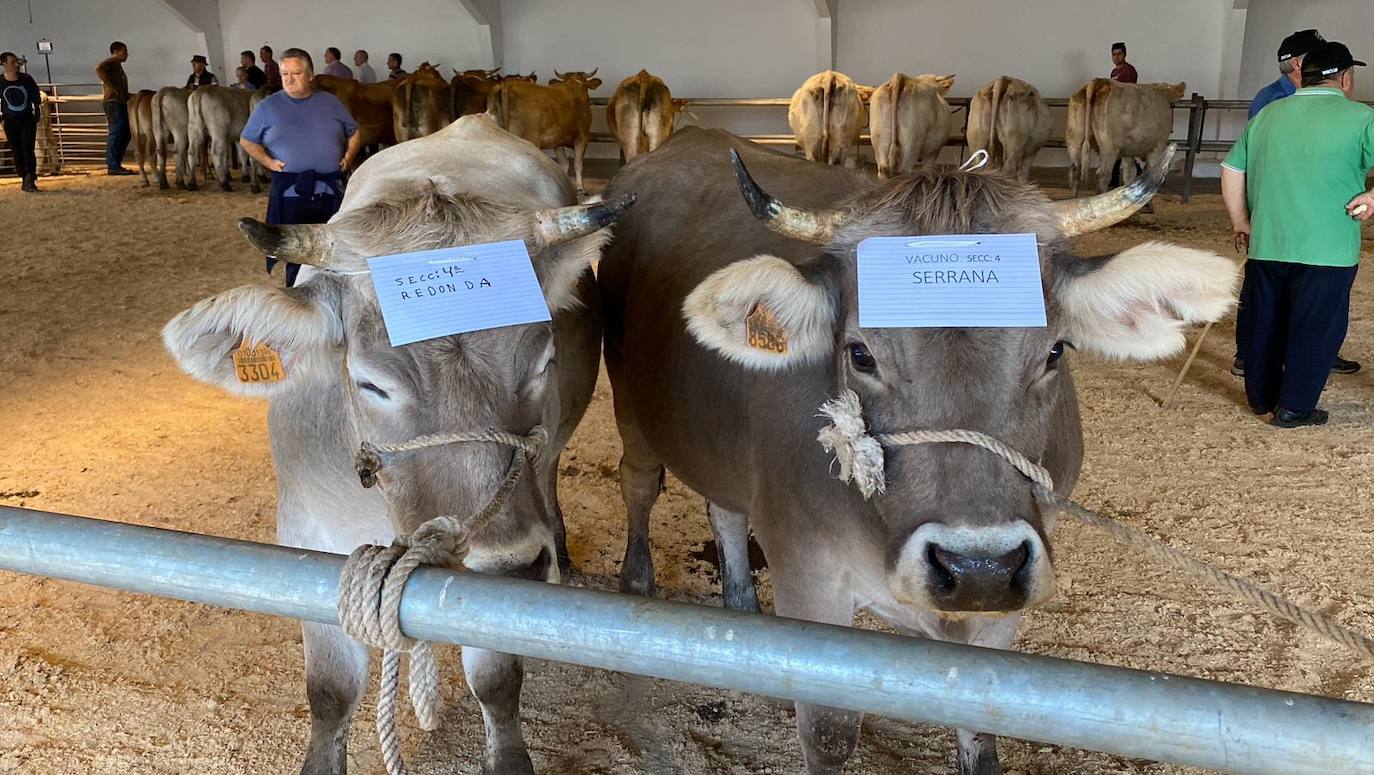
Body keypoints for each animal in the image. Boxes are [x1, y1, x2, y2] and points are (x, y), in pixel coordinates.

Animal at [162, 116, 632, 775]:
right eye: (371, 383)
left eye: (545, 359)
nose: (518, 566)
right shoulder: (304, 534)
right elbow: (330, 689)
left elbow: (495, 680)